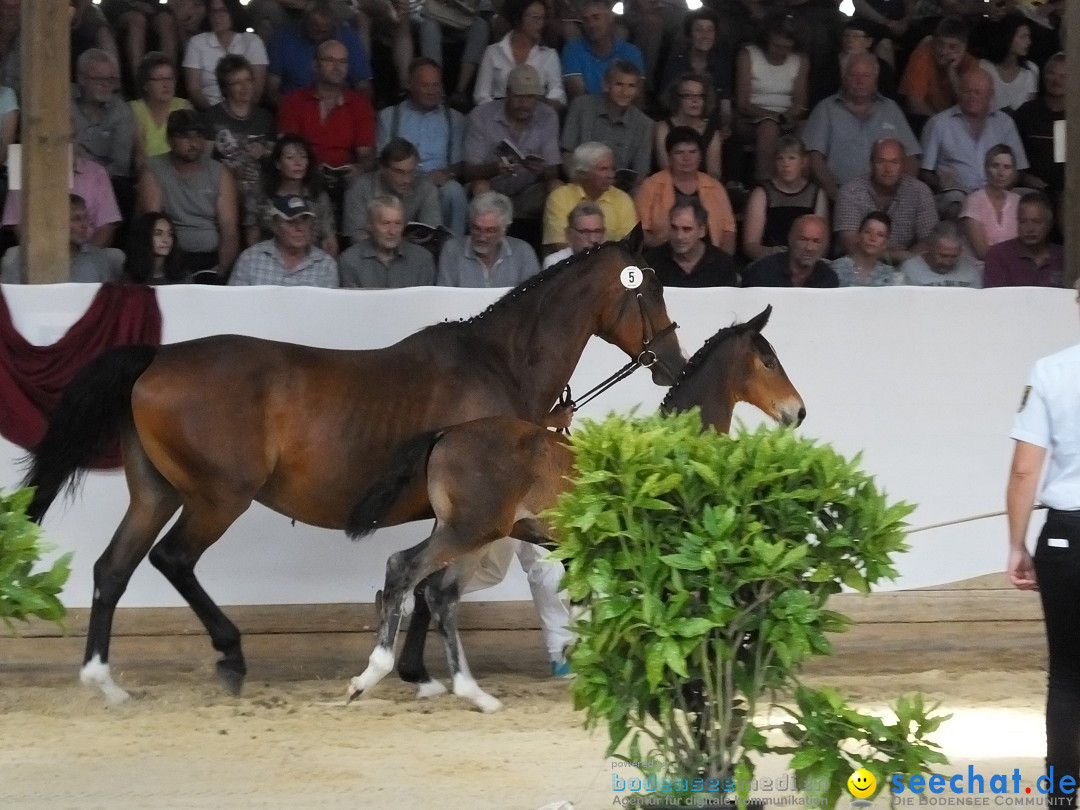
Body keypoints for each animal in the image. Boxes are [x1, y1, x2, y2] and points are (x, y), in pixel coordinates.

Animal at [21, 234, 682, 704]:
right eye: (648, 287)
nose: (671, 363)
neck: (498, 363)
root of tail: (157, 357)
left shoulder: (466, 518)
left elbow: (425, 587)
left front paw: (414, 671)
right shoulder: (468, 518)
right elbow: (427, 585)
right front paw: (414, 672)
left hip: (155, 493)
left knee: (113, 570)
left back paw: (105, 681)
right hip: (217, 498)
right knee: (173, 560)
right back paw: (230, 656)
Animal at [341, 306, 807, 712]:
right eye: (768, 361)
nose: (797, 412)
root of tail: (445, 434)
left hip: (473, 536)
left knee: (440, 594)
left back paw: (473, 693)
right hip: (469, 532)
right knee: (405, 570)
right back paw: (371, 675)